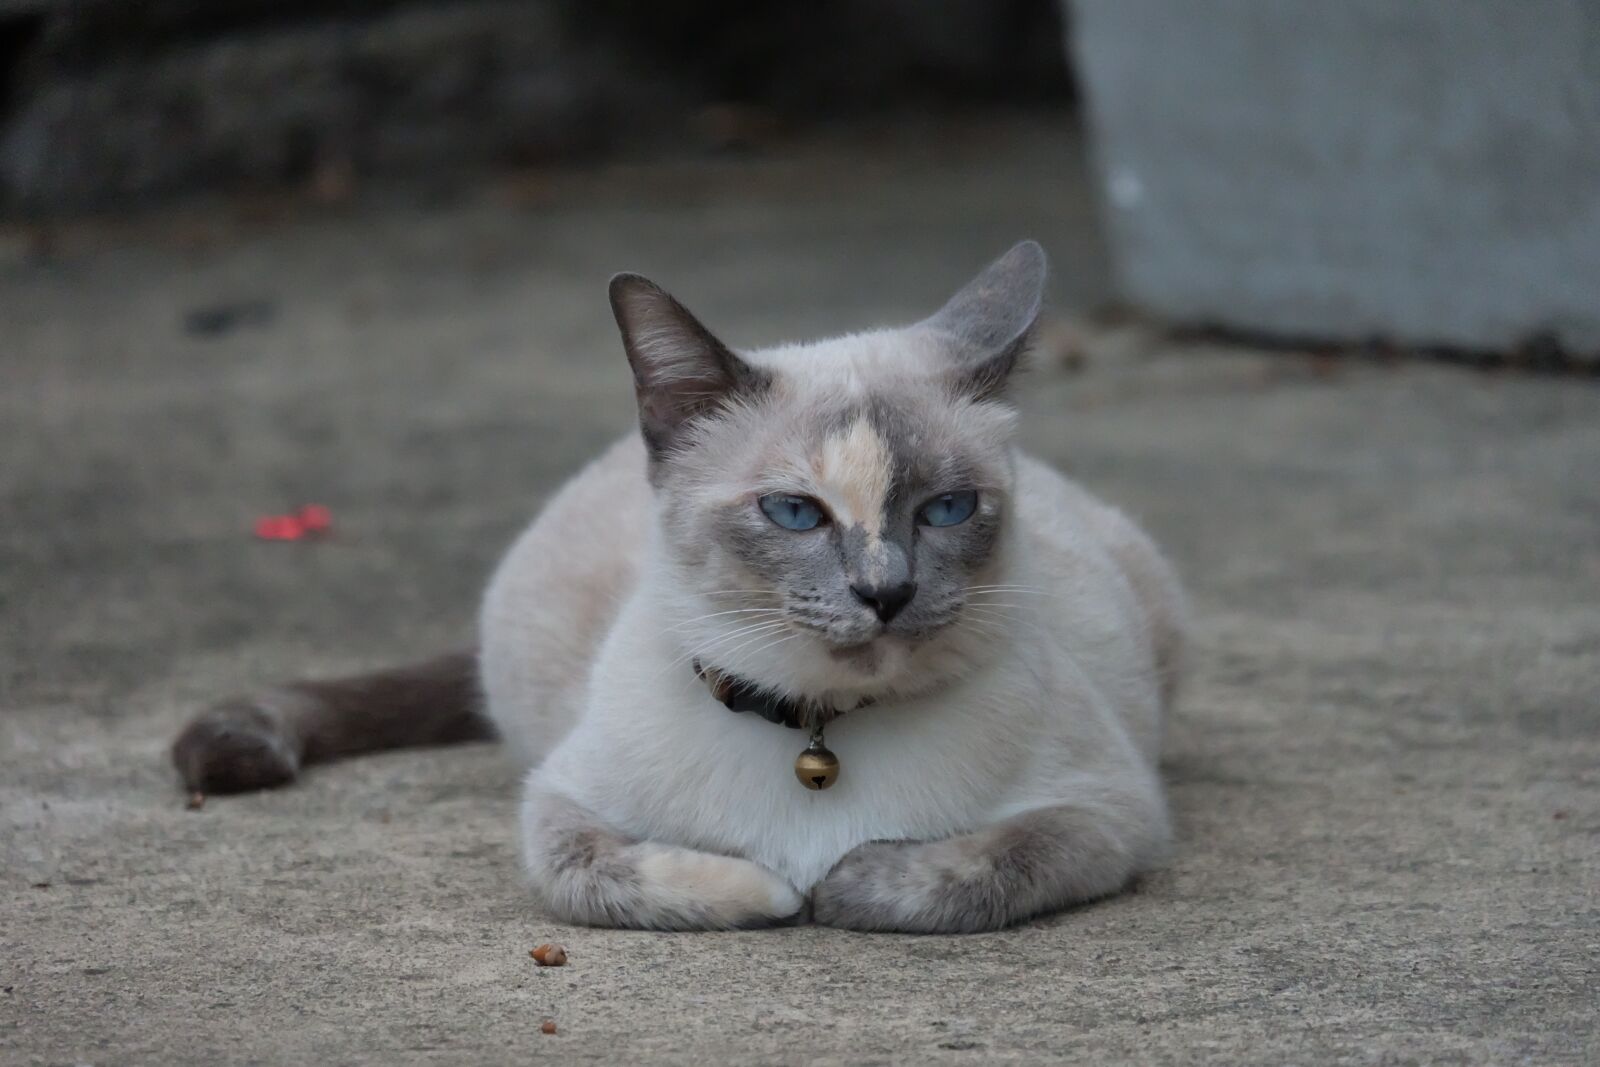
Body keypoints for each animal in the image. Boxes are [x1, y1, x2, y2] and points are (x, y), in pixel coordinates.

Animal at [172, 241, 1190, 934]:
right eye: (794, 513)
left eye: (946, 509)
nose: (886, 591)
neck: (819, 736)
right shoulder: (558, 806)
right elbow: (624, 875)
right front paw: (781, 888)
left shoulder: (1108, 812)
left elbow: (951, 872)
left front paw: (840, 881)